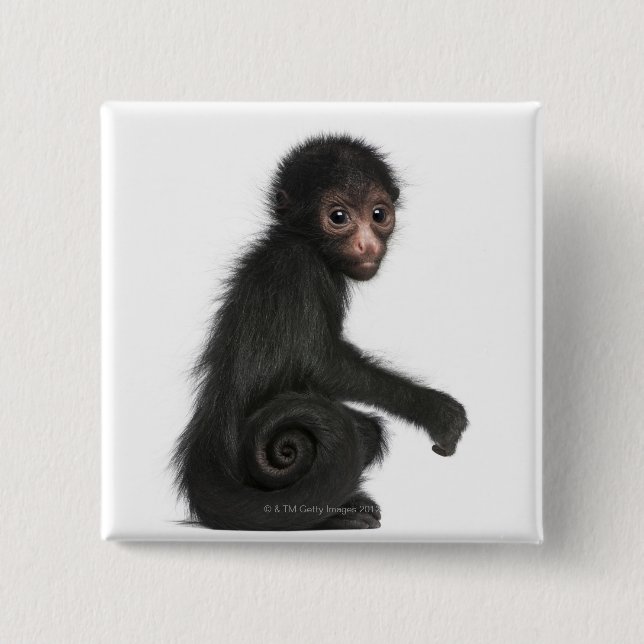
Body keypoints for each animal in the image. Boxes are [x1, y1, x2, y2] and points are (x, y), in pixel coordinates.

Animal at [172, 133, 468, 531]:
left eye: (378, 215)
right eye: (338, 217)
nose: (367, 244)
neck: (298, 240)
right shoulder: (300, 266)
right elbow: (320, 364)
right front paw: (435, 410)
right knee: (363, 431)